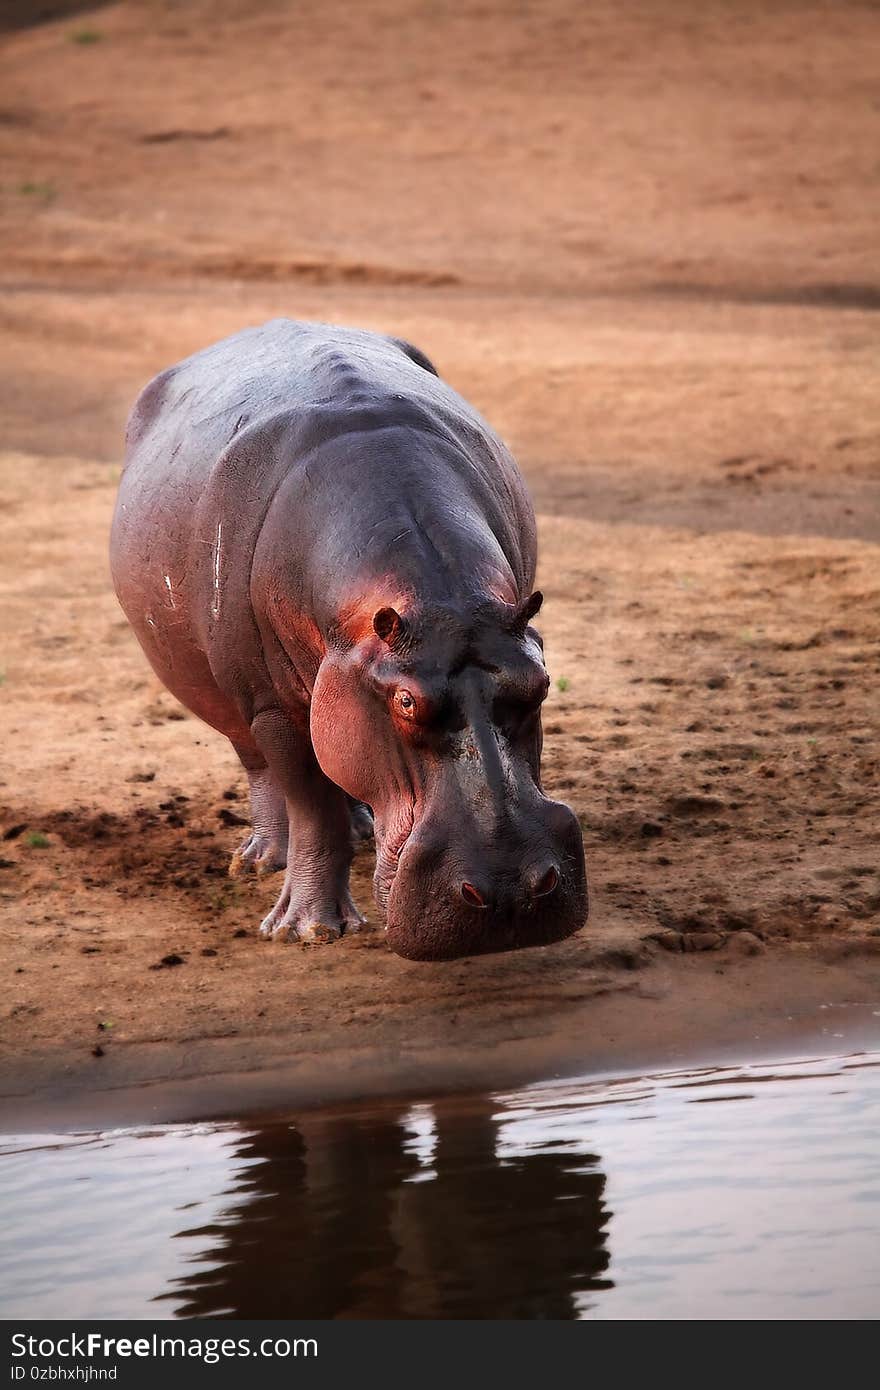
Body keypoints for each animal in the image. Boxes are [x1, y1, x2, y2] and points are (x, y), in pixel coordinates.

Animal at [111, 319, 589, 961]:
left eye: (539, 683)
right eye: (406, 701)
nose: (512, 892)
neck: (441, 603)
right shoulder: (272, 706)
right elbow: (311, 808)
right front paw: (308, 929)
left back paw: (358, 828)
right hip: (230, 695)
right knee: (260, 767)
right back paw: (261, 860)